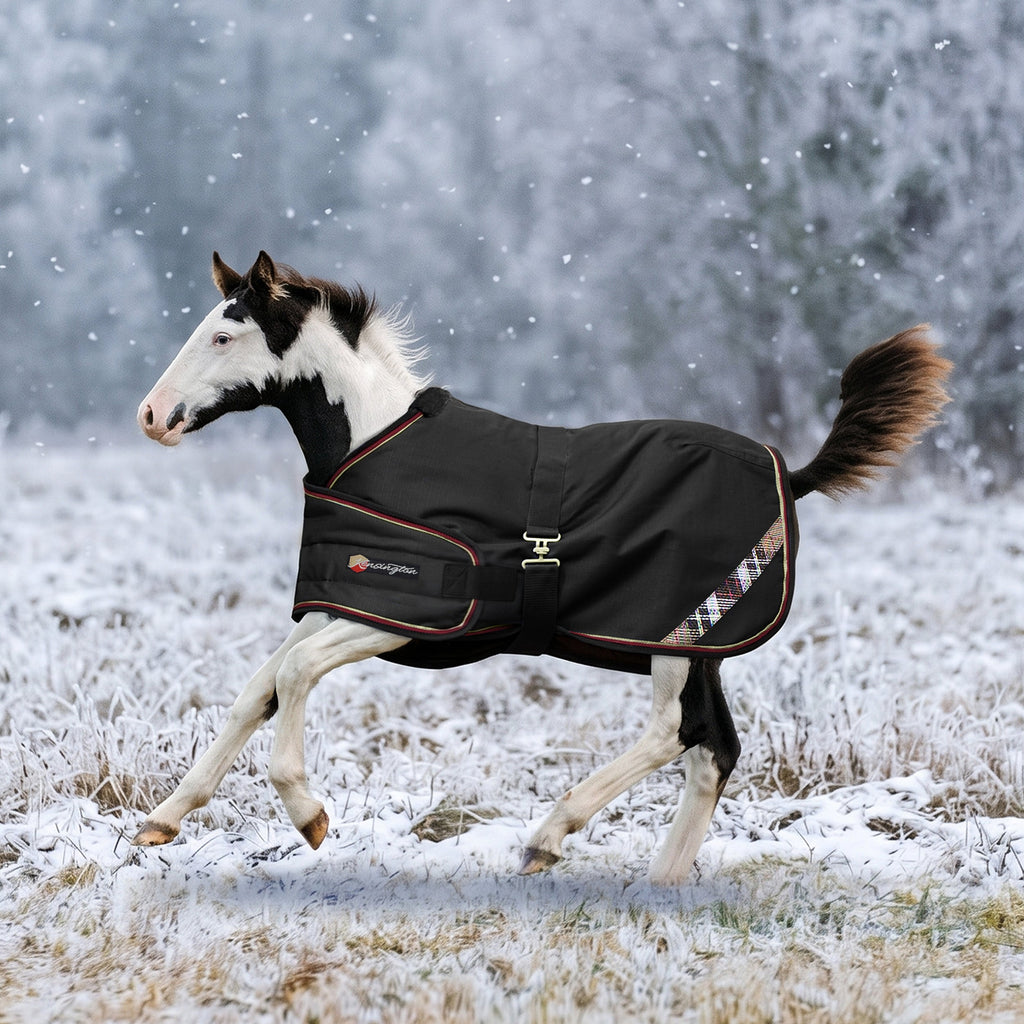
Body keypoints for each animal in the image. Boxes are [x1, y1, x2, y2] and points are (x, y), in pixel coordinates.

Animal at [133, 251, 951, 884]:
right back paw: (658, 887)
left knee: (674, 733)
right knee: (714, 750)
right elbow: (259, 690)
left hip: (676, 638)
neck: (373, 445)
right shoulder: (344, 605)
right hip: (702, 649)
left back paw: (548, 838)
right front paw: (162, 821)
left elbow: (295, 677)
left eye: (223, 334)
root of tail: (792, 473)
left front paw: (309, 816)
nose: (152, 416)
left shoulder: (409, 617)